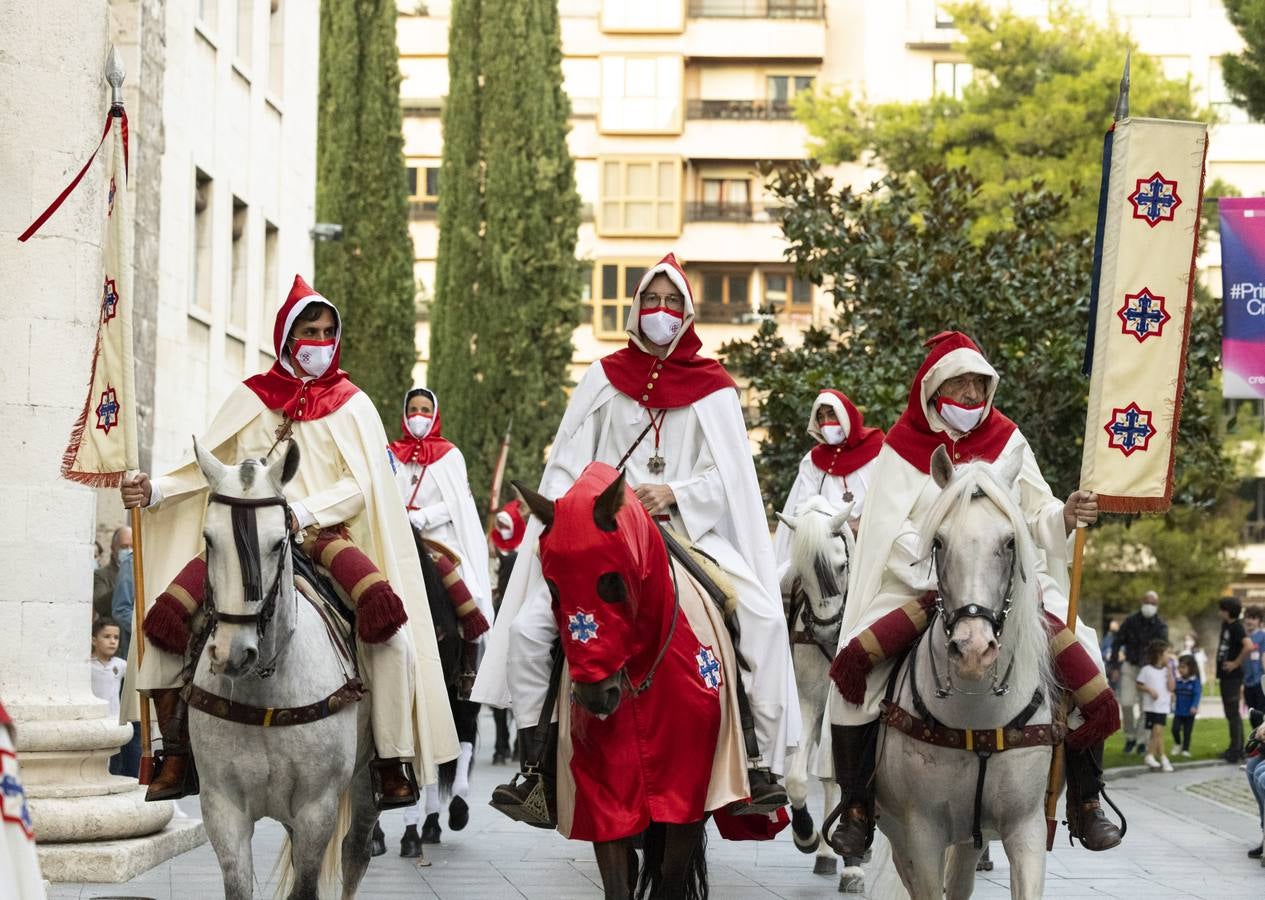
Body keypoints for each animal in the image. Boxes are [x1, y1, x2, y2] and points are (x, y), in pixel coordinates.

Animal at [185, 443, 374, 900]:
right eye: (209, 539)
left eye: (277, 543)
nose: (232, 654)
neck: (266, 693)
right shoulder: (222, 808)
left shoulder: (316, 809)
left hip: (365, 779)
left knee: (356, 851)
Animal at [769, 498, 870, 896]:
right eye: (803, 575)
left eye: (841, 566)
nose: (826, 632)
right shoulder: (809, 700)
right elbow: (799, 779)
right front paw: (807, 835)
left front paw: (854, 864)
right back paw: (827, 852)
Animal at [870, 448, 1057, 896]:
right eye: (938, 541)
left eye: (1010, 541)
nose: (973, 650)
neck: (978, 719)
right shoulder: (922, 834)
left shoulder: (1026, 828)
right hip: (900, 832)